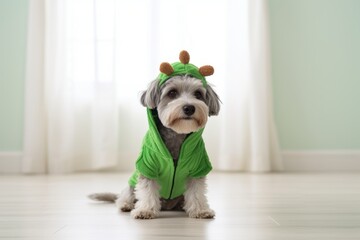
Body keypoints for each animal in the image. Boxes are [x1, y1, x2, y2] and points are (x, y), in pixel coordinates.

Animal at [88, 50, 221, 219]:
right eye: (172, 93)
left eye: (198, 94)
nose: (189, 108)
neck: (176, 135)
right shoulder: (147, 167)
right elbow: (147, 190)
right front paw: (145, 210)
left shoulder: (197, 168)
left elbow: (196, 191)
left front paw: (200, 210)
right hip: (131, 183)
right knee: (125, 195)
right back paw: (126, 204)